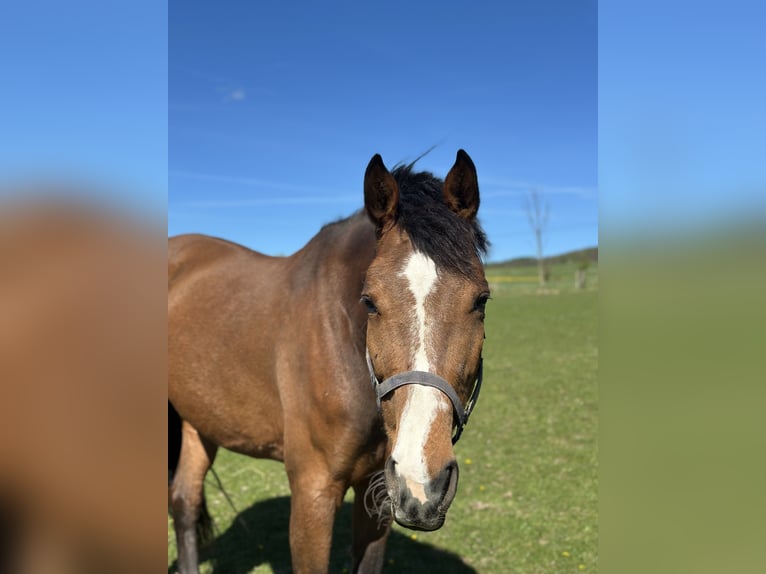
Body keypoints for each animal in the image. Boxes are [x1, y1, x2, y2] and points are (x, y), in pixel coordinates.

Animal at [168, 150, 490, 574]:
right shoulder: (313, 492)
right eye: (369, 301)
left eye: (481, 299)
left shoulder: (379, 493)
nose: (424, 482)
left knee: (184, 503)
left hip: (199, 422)